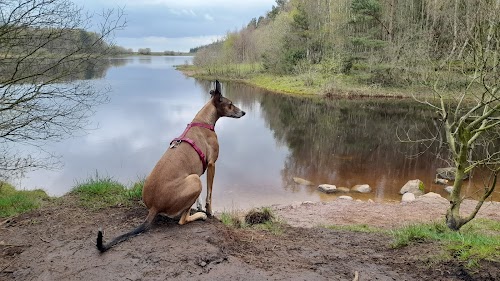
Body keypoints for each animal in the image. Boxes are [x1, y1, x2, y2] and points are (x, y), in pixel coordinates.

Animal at [95, 79, 244, 252]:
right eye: (230, 104)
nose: (243, 113)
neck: (203, 121)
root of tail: (154, 206)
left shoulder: (198, 170)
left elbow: (201, 197)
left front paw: (199, 205)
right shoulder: (212, 165)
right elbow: (209, 194)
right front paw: (208, 211)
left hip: (192, 178)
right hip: (194, 180)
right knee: (182, 220)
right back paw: (200, 216)